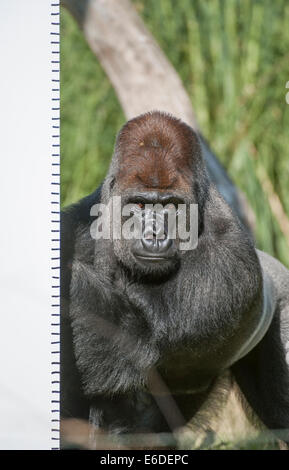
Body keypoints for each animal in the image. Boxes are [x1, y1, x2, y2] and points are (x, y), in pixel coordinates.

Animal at [60, 110, 288, 448]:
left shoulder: (230, 259)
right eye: (140, 204)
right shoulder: (81, 222)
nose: (154, 235)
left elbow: (135, 339)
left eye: (171, 206)